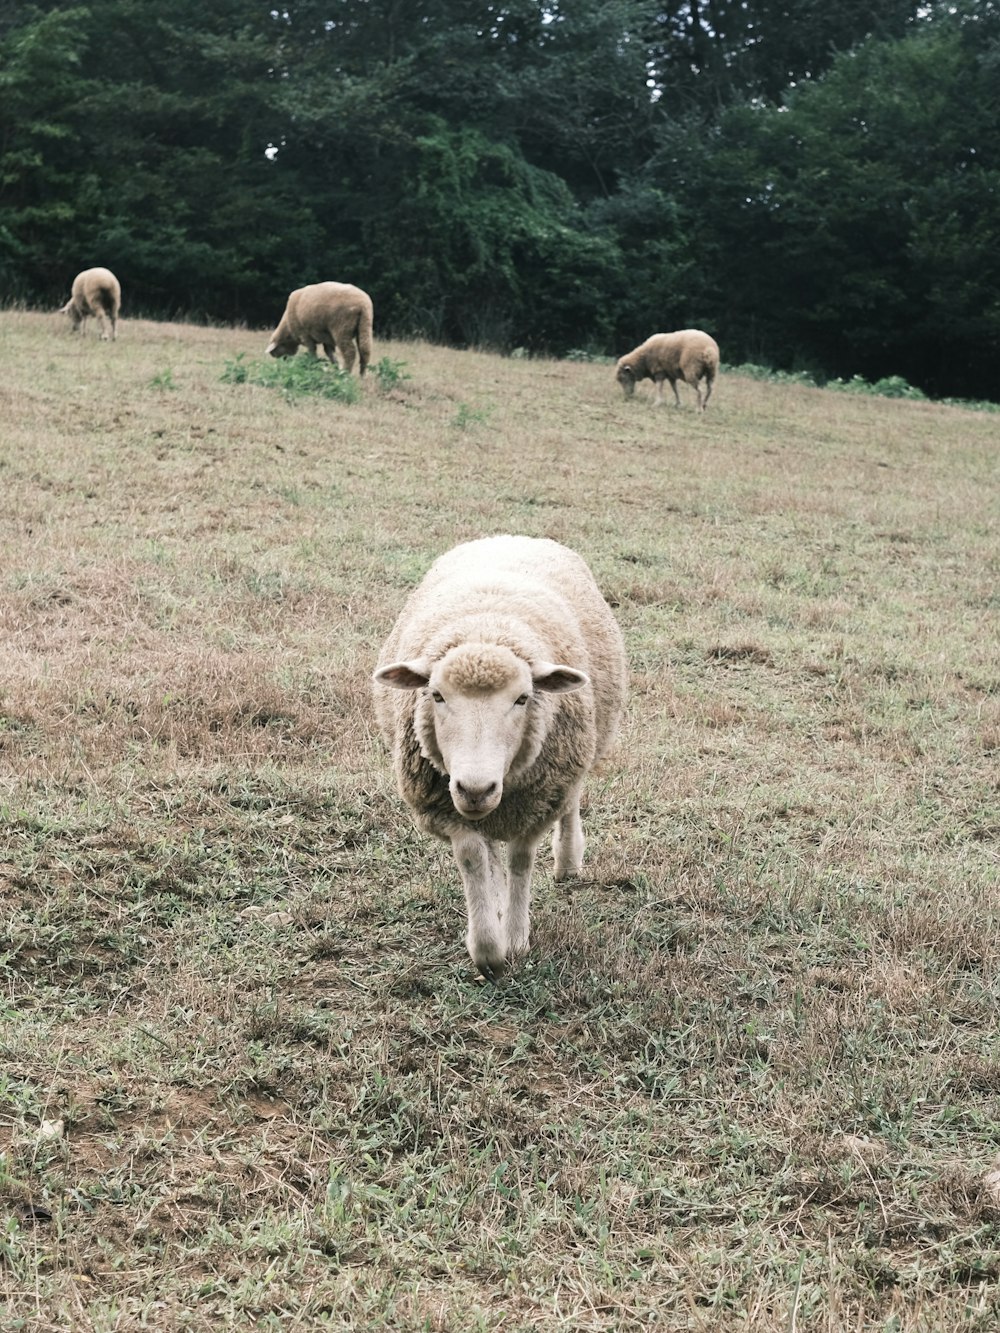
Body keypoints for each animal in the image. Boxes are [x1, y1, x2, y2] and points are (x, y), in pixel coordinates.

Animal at [373, 535, 626, 986]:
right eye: (436, 694)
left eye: (522, 698)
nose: (476, 788)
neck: (486, 627)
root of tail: (512, 536)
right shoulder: (449, 808)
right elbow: (475, 859)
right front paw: (488, 949)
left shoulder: (539, 799)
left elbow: (521, 861)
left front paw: (517, 939)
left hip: (578, 755)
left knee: (572, 804)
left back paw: (567, 861)